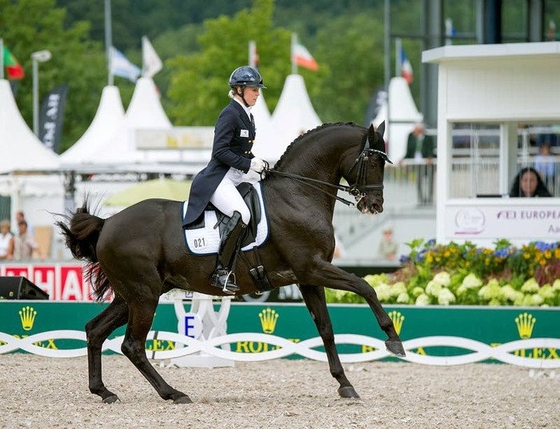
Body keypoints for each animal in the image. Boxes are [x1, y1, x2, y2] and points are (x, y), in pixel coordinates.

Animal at [57, 121, 402, 404]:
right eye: (374, 161)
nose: (375, 205)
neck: (298, 194)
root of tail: (107, 223)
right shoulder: (312, 268)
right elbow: (365, 286)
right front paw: (393, 341)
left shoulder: (307, 278)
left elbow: (326, 329)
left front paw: (345, 384)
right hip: (144, 295)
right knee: (133, 344)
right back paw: (173, 393)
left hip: (132, 294)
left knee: (95, 331)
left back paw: (103, 391)